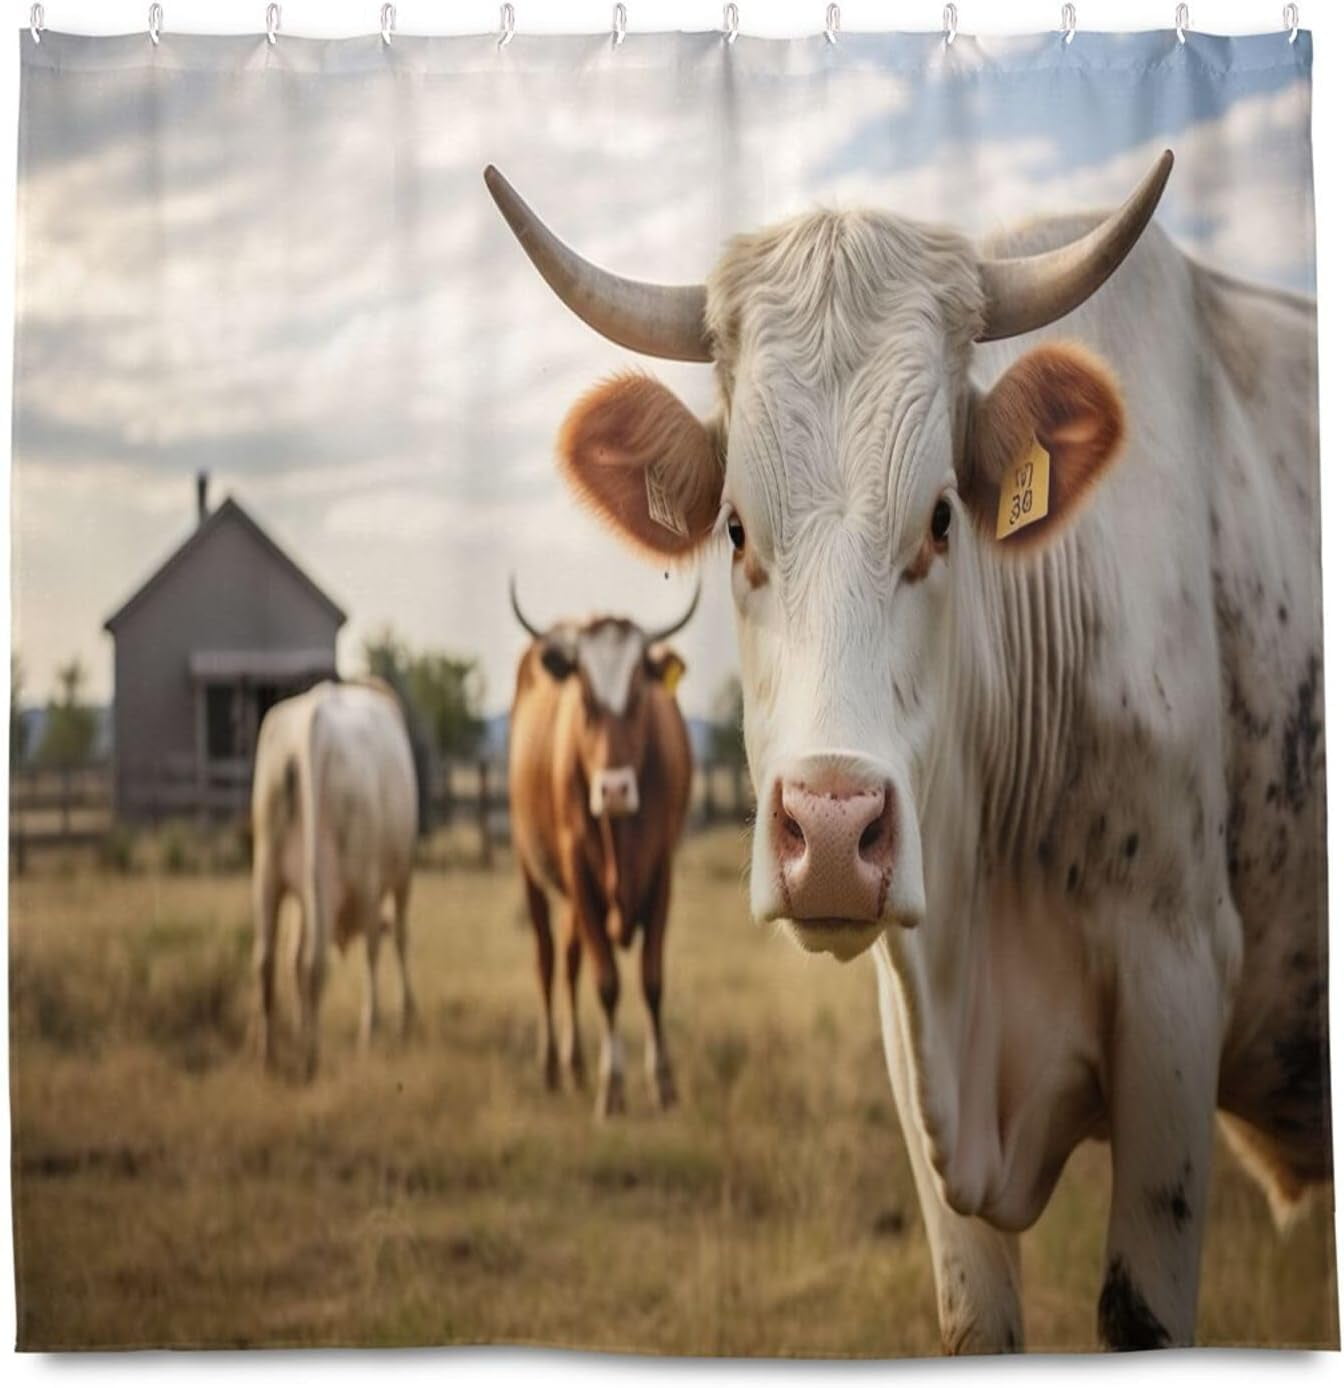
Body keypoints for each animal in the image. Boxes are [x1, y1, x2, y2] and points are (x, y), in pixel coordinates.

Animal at [252, 679, 418, 1080]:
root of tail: (312, 725)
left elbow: (292, 956)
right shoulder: (394, 880)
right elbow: (389, 943)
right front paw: (386, 1023)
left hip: (269, 872)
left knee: (269, 959)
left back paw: (270, 1055)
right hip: (333, 875)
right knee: (315, 961)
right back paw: (311, 1057)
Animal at [507, 580, 696, 1118]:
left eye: (637, 695)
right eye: (586, 701)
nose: (613, 791)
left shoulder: (661, 873)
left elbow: (651, 980)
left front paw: (663, 1083)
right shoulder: (579, 873)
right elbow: (608, 981)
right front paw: (611, 1086)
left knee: (571, 961)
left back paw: (574, 1065)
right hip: (532, 868)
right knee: (549, 961)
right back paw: (553, 1065)